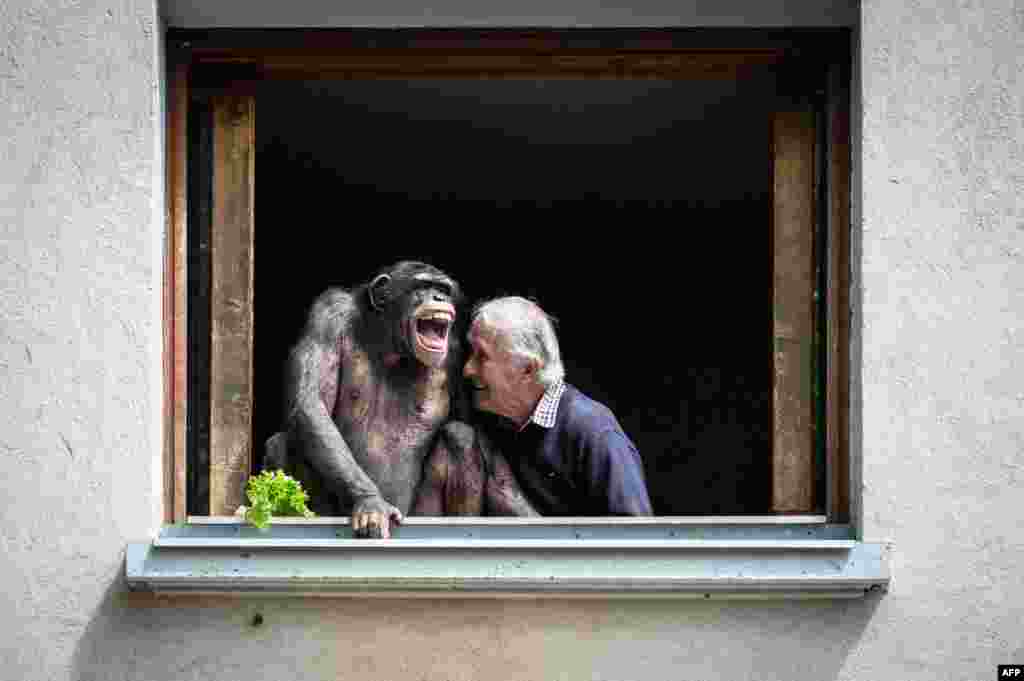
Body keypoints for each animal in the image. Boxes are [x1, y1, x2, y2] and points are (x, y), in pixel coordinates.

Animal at [265, 261, 536, 538]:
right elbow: (312, 402)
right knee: (287, 439)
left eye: (443, 289)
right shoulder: (328, 315)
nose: (439, 298)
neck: (392, 345)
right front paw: (371, 502)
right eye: (423, 286)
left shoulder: (458, 353)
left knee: (460, 436)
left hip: (421, 514)